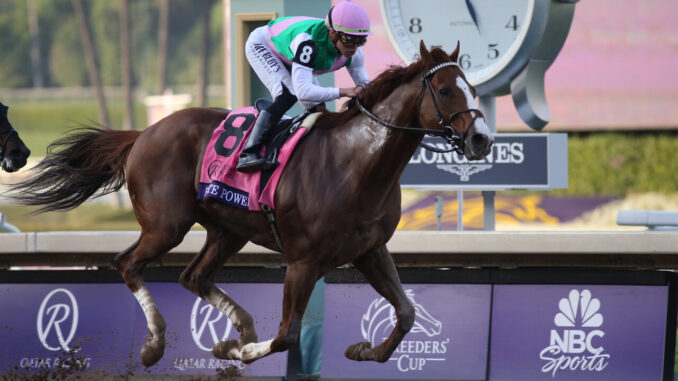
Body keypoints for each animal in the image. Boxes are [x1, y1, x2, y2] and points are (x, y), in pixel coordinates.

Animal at [10, 43, 494, 366]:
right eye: (446, 90)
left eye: (472, 87)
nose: (481, 139)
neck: (356, 163)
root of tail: (145, 132)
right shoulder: (303, 261)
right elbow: (286, 336)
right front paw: (240, 351)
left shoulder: (369, 251)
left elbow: (408, 313)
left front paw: (363, 348)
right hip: (166, 225)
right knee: (128, 264)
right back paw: (155, 343)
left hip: (226, 230)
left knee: (192, 276)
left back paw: (237, 325)